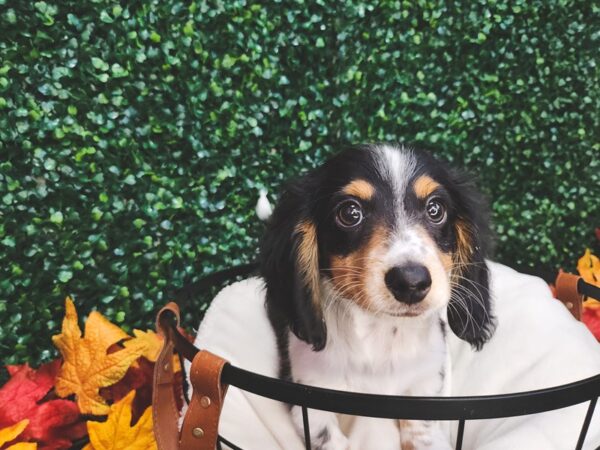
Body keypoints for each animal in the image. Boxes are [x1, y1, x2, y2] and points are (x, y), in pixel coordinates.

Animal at [260, 144, 494, 450]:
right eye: (350, 213)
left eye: (435, 209)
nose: (411, 281)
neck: (383, 334)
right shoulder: (308, 399)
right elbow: (329, 438)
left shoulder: (425, 381)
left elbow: (420, 430)